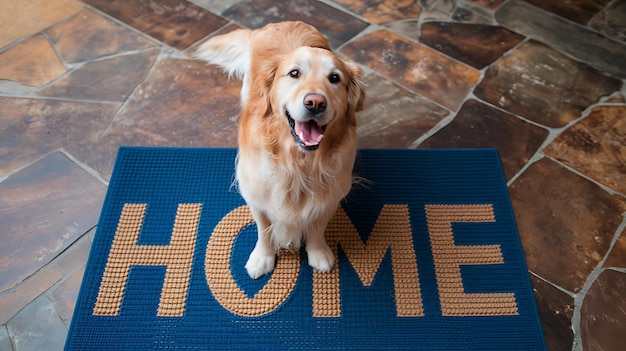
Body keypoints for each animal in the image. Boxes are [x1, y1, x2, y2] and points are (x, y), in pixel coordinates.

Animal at [193, 22, 364, 280]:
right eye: (294, 73)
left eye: (335, 78)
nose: (315, 102)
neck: (297, 161)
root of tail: (281, 23)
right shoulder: (257, 195)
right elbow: (265, 231)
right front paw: (262, 258)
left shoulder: (329, 196)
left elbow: (316, 227)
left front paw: (318, 252)